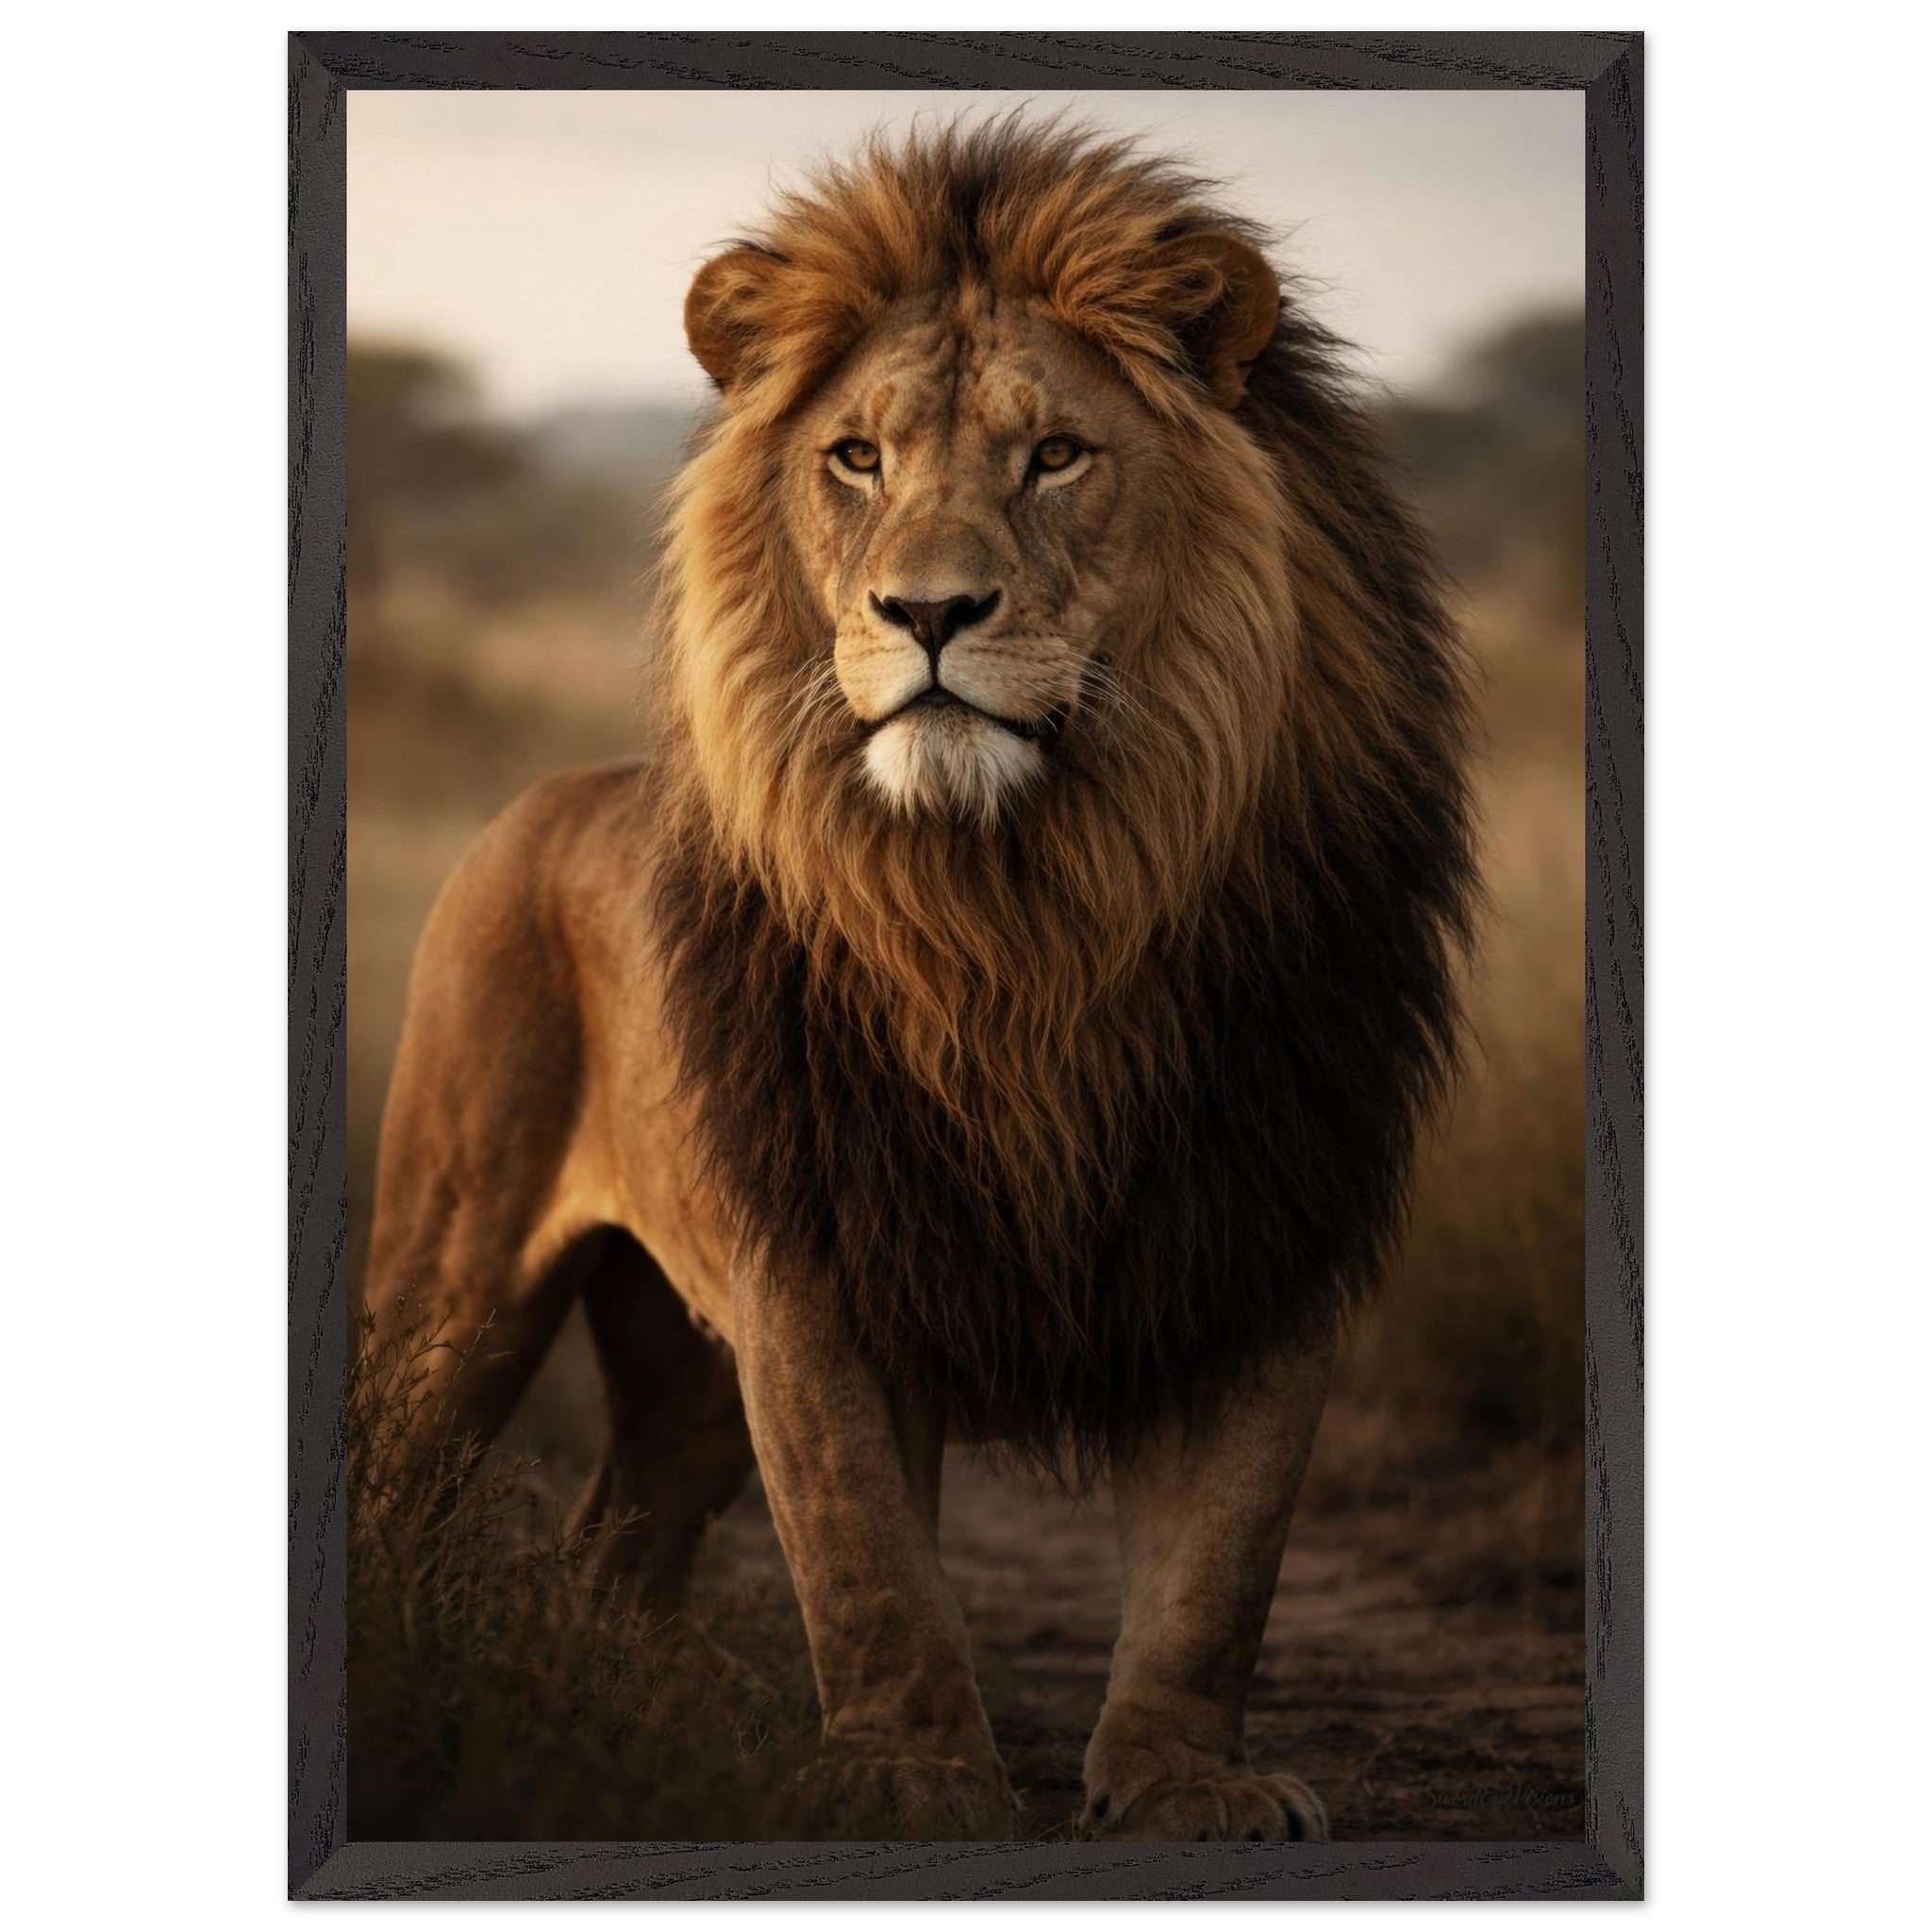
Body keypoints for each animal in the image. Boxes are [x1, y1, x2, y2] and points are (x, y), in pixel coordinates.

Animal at [365, 118, 1475, 1842]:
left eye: (1055, 457)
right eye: (858, 460)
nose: (930, 611)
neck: (1021, 912)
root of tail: (543, 799)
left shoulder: (1264, 1228)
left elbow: (1220, 1563)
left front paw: (1183, 1779)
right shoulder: (816, 1255)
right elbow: (864, 1554)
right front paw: (907, 1773)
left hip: (679, 1362)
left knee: (618, 1537)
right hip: (454, 1271)